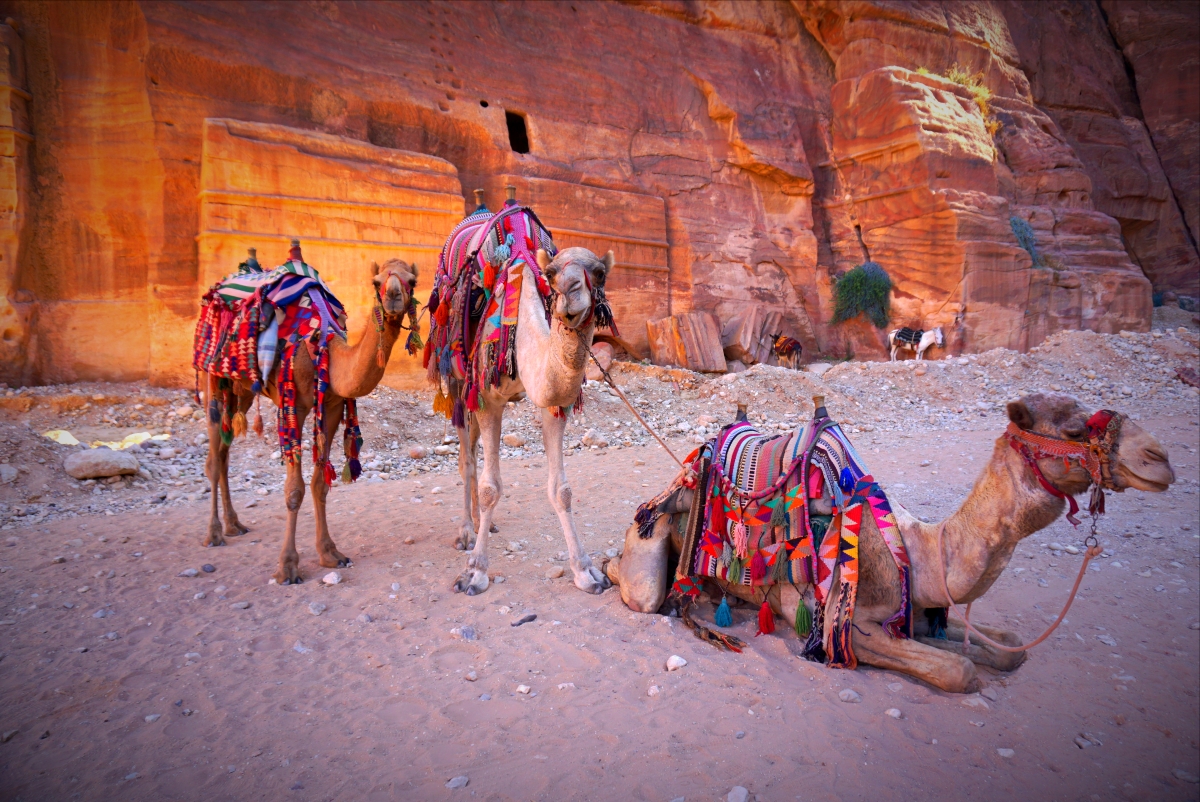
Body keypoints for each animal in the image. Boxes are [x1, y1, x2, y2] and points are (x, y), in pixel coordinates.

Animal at [201, 260, 417, 585]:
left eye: (412, 281)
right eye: (375, 281)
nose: (392, 295)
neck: (325, 352)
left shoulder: (331, 408)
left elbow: (319, 484)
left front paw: (330, 553)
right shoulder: (294, 407)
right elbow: (294, 490)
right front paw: (287, 567)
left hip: (241, 390)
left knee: (225, 453)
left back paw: (233, 524)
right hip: (213, 376)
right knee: (214, 459)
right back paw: (214, 534)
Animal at [451, 247, 614, 597]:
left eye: (599, 273)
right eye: (551, 274)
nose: (570, 293)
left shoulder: (552, 403)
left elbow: (561, 490)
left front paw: (587, 572)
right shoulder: (487, 398)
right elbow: (490, 487)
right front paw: (474, 572)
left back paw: (485, 524)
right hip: (459, 384)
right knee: (466, 459)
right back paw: (466, 532)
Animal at [604, 391, 1176, 691]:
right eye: (1077, 430)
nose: (1159, 459)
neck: (921, 554)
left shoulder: (921, 609)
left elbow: (1007, 647)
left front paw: (989, 647)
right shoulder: (843, 623)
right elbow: (960, 669)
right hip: (649, 545)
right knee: (637, 584)